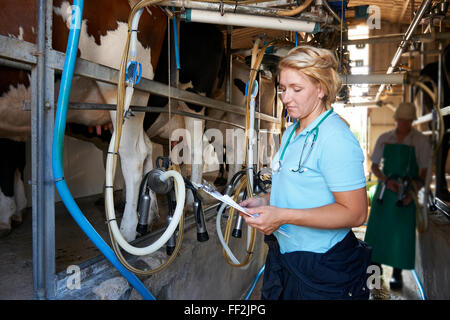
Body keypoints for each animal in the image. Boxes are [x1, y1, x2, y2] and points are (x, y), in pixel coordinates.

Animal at [0, 0, 167, 240]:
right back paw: (147, 218)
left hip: (124, 90)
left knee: (133, 155)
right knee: (145, 149)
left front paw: (6, 217)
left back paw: (126, 232)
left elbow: (6, 164)